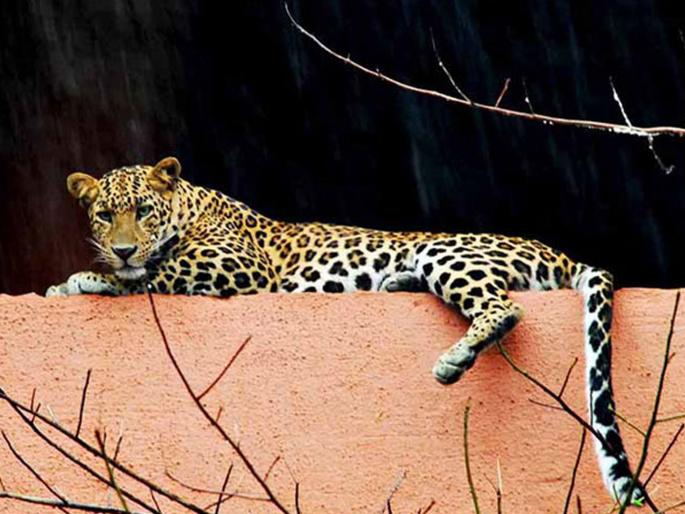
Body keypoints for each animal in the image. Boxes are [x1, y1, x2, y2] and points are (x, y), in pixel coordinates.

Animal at [47, 156, 645, 506]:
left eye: (142, 211)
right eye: (105, 215)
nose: (123, 246)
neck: (192, 203)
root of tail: (561, 253)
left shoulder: (240, 265)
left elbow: (157, 272)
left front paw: (85, 279)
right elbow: (148, 271)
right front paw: (97, 272)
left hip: (446, 251)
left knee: (504, 309)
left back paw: (453, 359)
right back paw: (398, 283)